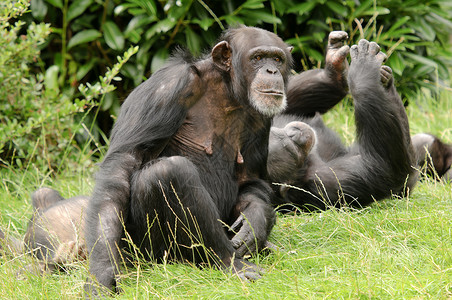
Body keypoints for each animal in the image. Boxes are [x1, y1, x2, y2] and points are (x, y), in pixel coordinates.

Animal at [266, 39, 418, 211]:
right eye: (291, 150)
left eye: (275, 132)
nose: (295, 132)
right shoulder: (325, 182)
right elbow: (383, 168)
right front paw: (364, 69)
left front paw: (335, 70)